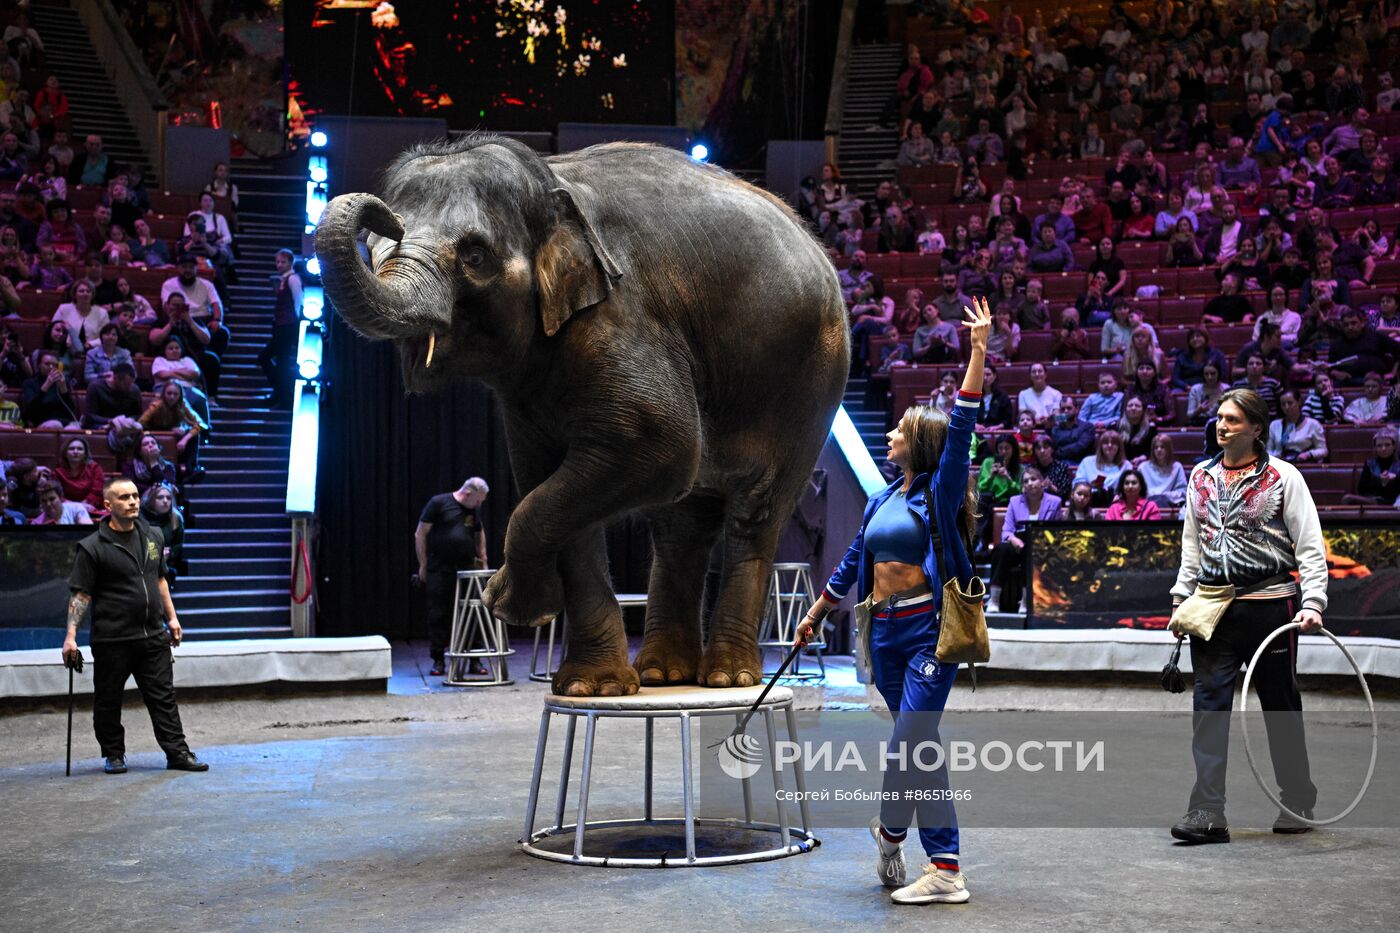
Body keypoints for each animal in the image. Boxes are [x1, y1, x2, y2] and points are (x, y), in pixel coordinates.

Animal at [316, 134, 840, 694]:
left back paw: (727, 678)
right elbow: (548, 479)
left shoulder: (620, 315)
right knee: (681, 524)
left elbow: (660, 447)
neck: (549, 184)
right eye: (374, 248)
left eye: (475, 255)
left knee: (753, 514)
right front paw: (593, 686)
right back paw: (663, 674)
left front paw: (511, 603)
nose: (383, 218)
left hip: (808, 388)